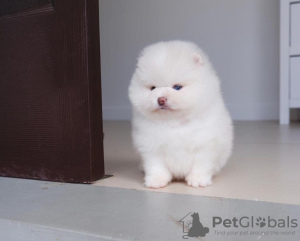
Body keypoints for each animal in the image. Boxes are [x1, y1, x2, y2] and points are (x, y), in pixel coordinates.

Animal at [127, 41, 233, 188]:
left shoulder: (205, 145)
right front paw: (156, 181)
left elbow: (201, 165)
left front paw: (198, 180)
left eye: (177, 87)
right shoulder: (151, 147)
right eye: (153, 88)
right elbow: (156, 166)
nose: (161, 99)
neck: (174, 123)